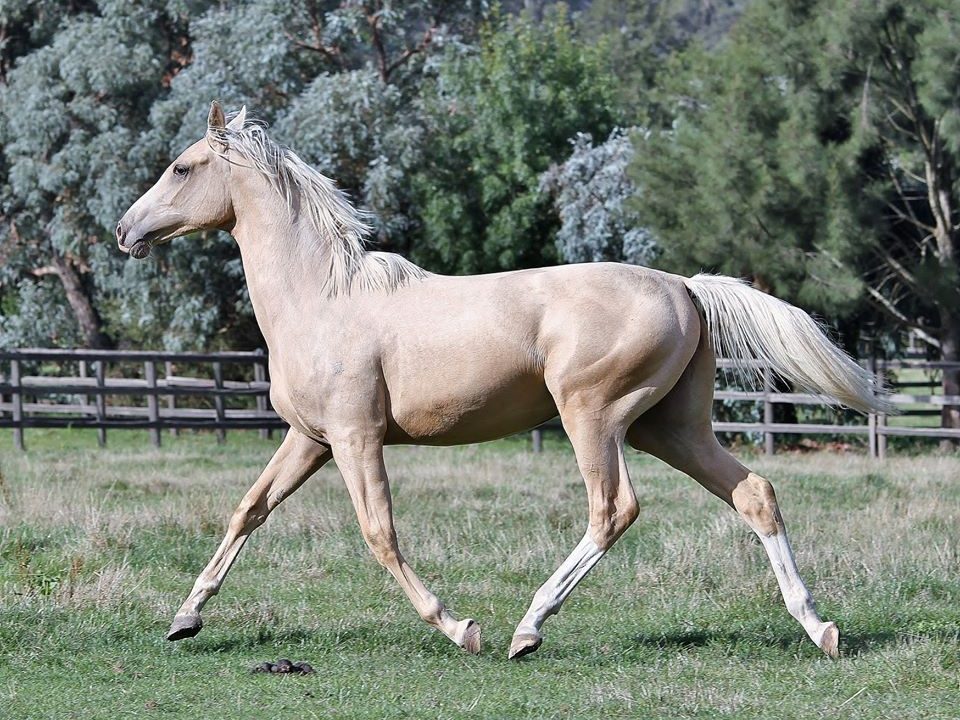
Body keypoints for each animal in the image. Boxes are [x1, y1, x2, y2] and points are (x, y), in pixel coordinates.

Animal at [116, 102, 888, 660]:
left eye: (181, 168)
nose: (125, 231)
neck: (322, 299)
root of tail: (684, 287)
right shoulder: (310, 439)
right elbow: (248, 510)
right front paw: (185, 618)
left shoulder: (356, 437)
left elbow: (379, 533)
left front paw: (459, 627)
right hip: (669, 427)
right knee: (754, 494)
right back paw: (820, 629)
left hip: (594, 417)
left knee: (613, 509)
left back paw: (527, 629)